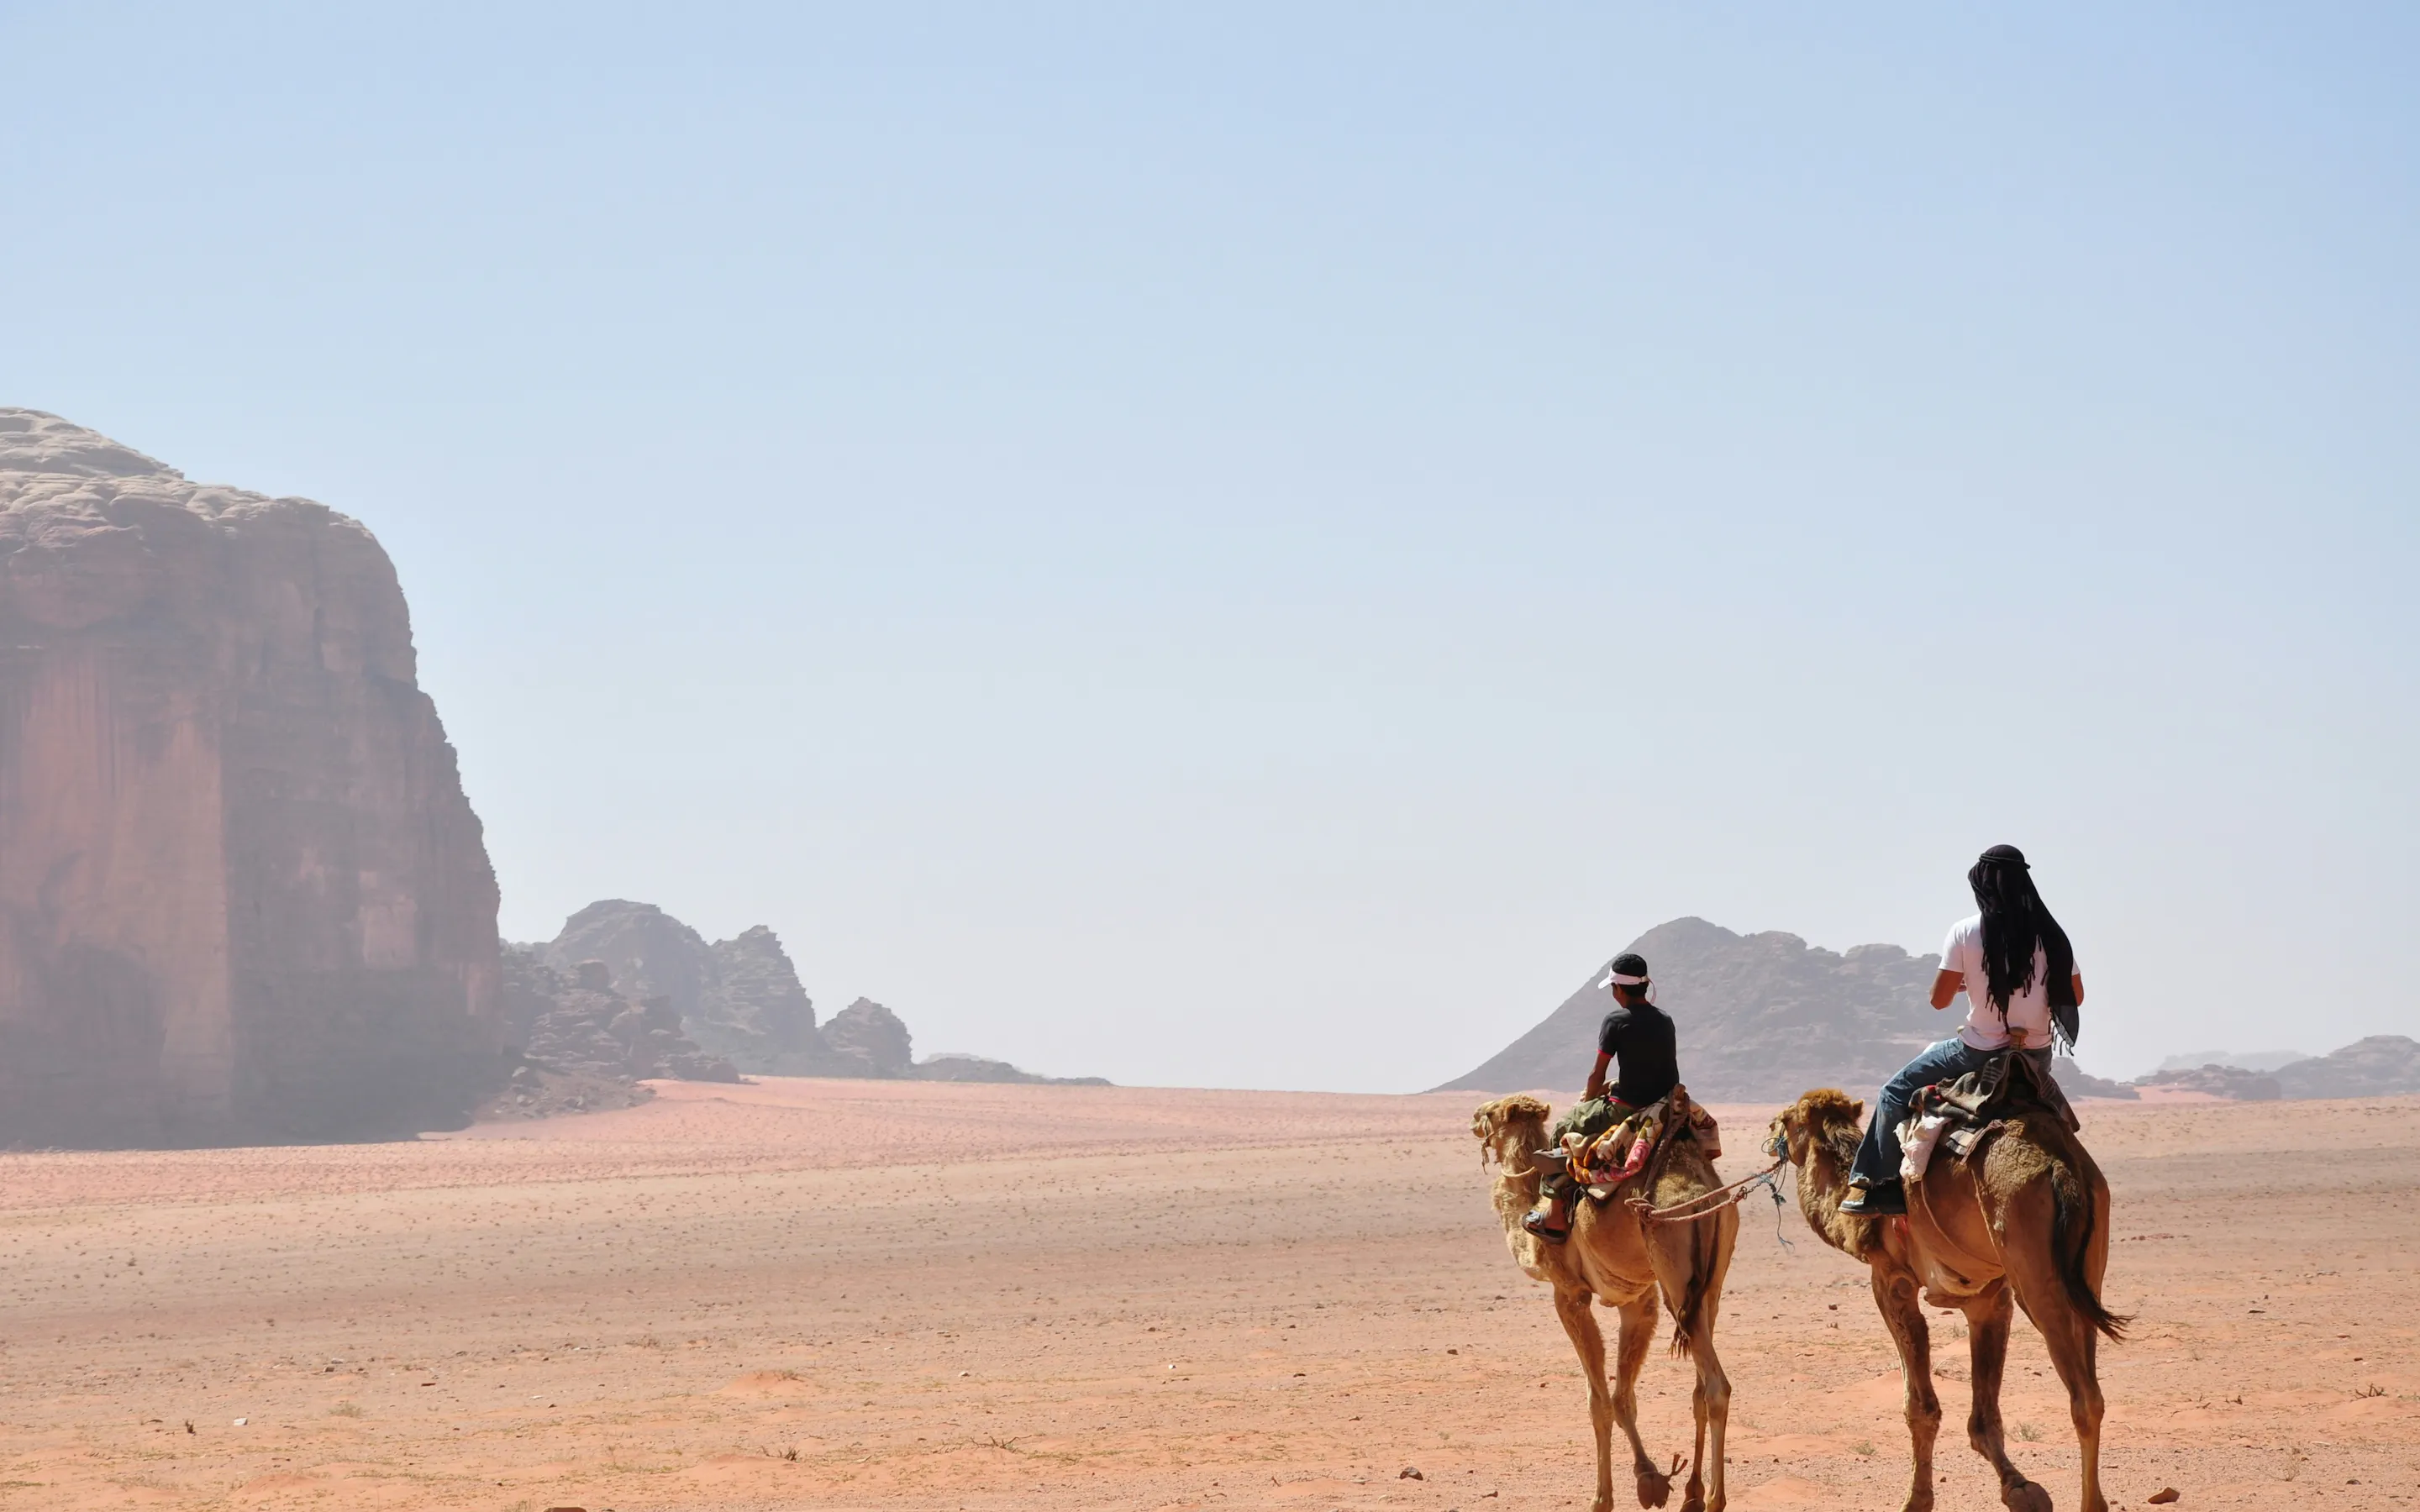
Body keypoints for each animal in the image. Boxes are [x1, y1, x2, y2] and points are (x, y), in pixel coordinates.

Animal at [1473, 1094, 1740, 1512]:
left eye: (1489, 1113)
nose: (1473, 1119)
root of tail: (1701, 1199)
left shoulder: (1569, 1294)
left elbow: (1599, 1402)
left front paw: (1602, 1498)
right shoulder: (1639, 1299)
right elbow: (1622, 1397)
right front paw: (1650, 1480)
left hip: (1676, 1275)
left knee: (1716, 1388)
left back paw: (1715, 1499)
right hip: (1708, 1285)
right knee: (1700, 1386)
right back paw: (1693, 1493)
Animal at [1765, 1088, 2128, 1512]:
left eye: (1785, 1120)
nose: (1770, 1132)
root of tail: (2062, 1166)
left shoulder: (1891, 1280)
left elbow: (1920, 1407)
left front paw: (1916, 1500)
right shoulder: (1988, 1298)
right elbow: (1984, 1418)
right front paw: (2020, 1488)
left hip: (2035, 1272)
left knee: (2083, 1398)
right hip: (2087, 1264)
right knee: (2094, 1390)